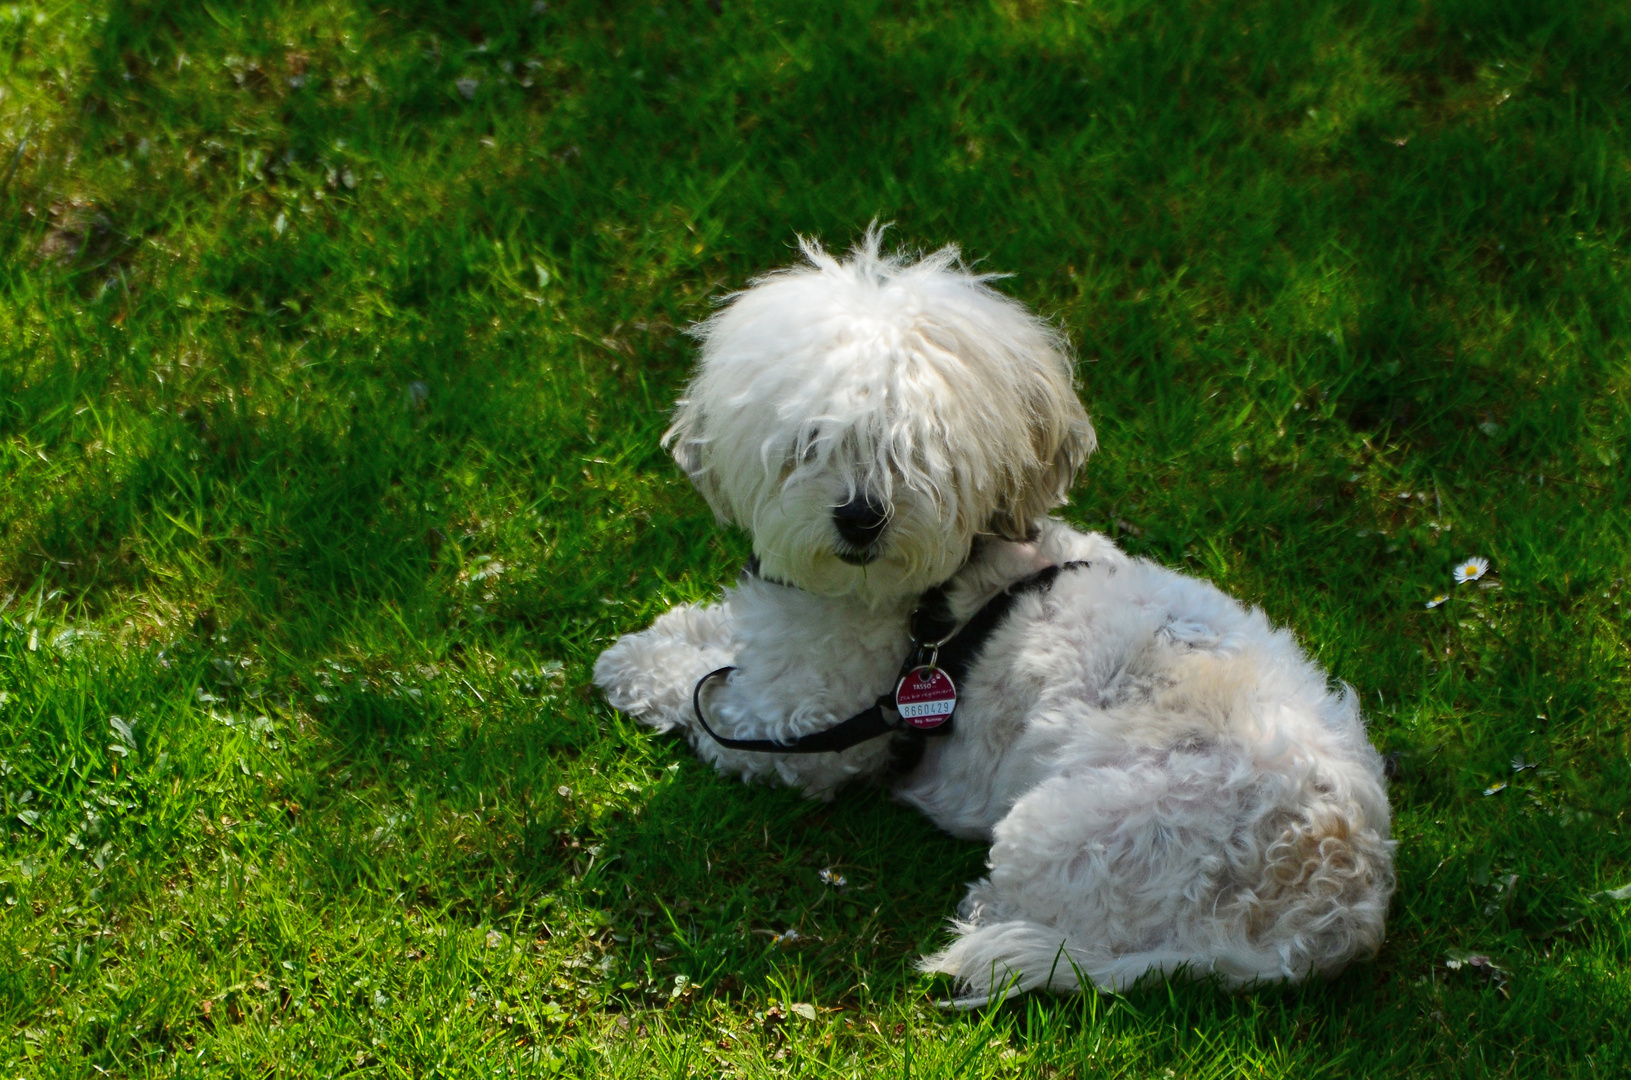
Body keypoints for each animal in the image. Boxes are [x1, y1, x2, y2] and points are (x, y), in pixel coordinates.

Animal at [593, 230, 1396, 1004]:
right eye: (811, 442)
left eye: (916, 454)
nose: (861, 517)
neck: (928, 595)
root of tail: (1331, 916)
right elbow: (715, 633)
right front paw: (661, 637)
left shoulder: (799, 727)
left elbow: (703, 699)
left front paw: (635, 667)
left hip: (1067, 833)